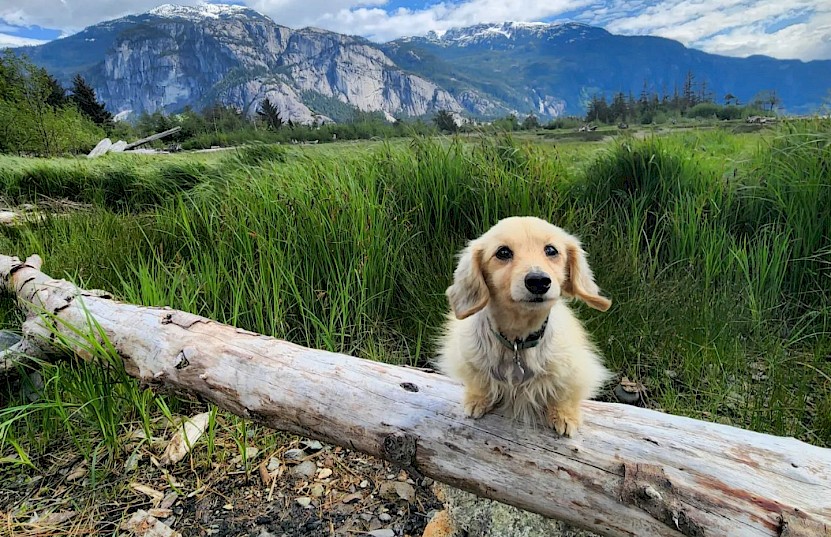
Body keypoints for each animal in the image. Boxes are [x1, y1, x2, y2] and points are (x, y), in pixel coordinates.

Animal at [436, 217, 612, 436]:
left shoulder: (575, 371)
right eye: (503, 252)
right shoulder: (468, 360)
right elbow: (479, 383)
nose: (538, 281)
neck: (517, 340)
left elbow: (564, 394)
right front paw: (476, 400)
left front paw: (564, 416)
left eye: (551, 250)